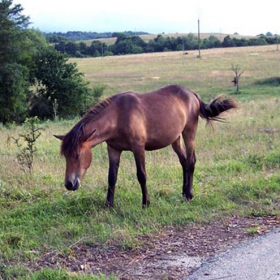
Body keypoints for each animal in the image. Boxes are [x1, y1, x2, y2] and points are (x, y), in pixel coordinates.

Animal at [54, 85, 236, 208]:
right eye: (65, 156)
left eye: (77, 155)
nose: (69, 184)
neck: (118, 115)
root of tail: (192, 94)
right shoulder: (113, 149)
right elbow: (111, 177)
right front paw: (108, 204)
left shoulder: (138, 148)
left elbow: (141, 175)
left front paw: (146, 203)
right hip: (175, 139)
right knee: (184, 162)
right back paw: (183, 192)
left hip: (189, 133)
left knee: (190, 162)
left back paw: (189, 195)